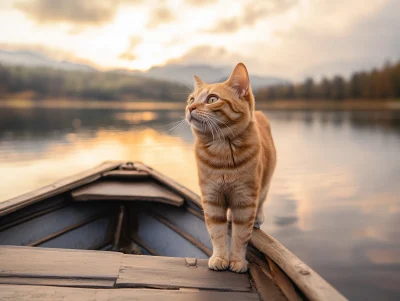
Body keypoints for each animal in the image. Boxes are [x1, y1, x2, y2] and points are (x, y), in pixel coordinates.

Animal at [186, 62, 276, 272]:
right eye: (192, 99)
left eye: (212, 99)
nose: (190, 107)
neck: (222, 155)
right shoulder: (212, 199)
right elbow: (217, 232)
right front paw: (220, 257)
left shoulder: (245, 200)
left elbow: (241, 235)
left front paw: (236, 260)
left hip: (265, 183)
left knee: (262, 201)